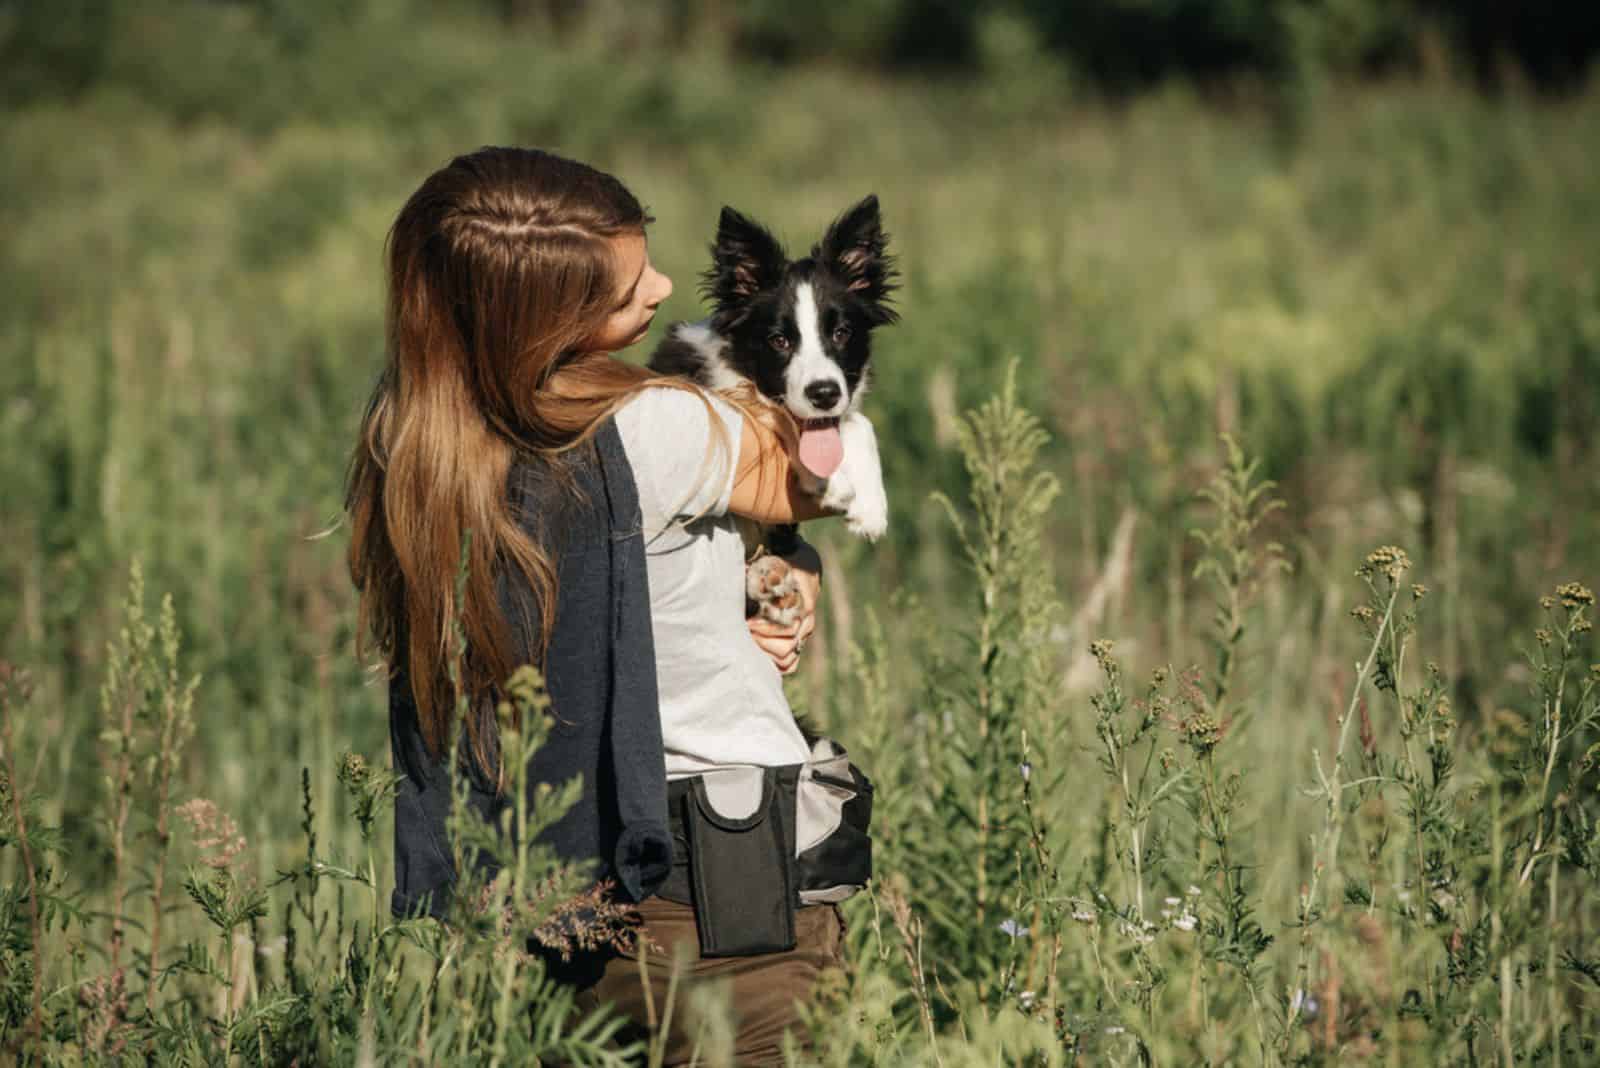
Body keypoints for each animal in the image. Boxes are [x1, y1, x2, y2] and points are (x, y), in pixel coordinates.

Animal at [649, 194, 902, 559]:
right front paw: (832, 483)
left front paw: (870, 507)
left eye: (841, 333)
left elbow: (858, 422)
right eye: (779, 340)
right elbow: (770, 415)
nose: (824, 394)